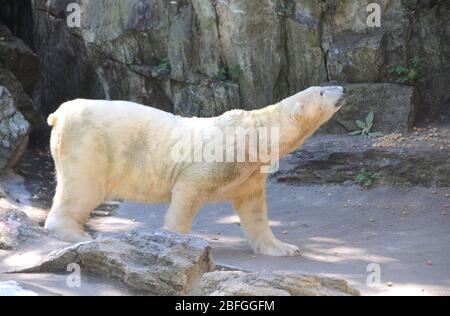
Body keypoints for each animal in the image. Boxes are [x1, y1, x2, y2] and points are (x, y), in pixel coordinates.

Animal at [44, 86, 344, 256]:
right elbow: (188, 191)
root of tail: (59, 113)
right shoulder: (221, 158)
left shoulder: (248, 175)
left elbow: (254, 211)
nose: (341, 88)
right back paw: (79, 235)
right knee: (83, 188)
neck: (255, 134)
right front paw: (173, 244)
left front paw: (285, 248)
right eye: (321, 91)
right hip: (90, 145)